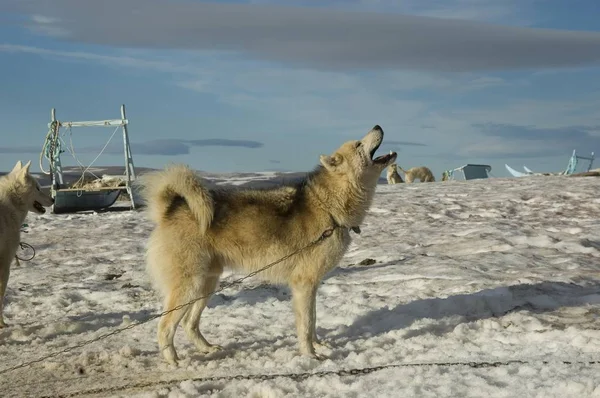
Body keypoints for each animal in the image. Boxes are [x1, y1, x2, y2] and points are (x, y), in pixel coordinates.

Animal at [138, 125, 396, 364]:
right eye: (358, 145)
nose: (378, 126)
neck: (329, 207)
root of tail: (170, 210)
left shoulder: (311, 286)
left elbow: (312, 322)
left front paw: (318, 346)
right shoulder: (304, 285)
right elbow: (306, 325)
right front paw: (310, 355)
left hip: (207, 284)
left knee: (189, 323)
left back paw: (207, 349)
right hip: (189, 286)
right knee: (165, 326)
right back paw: (173, 360)